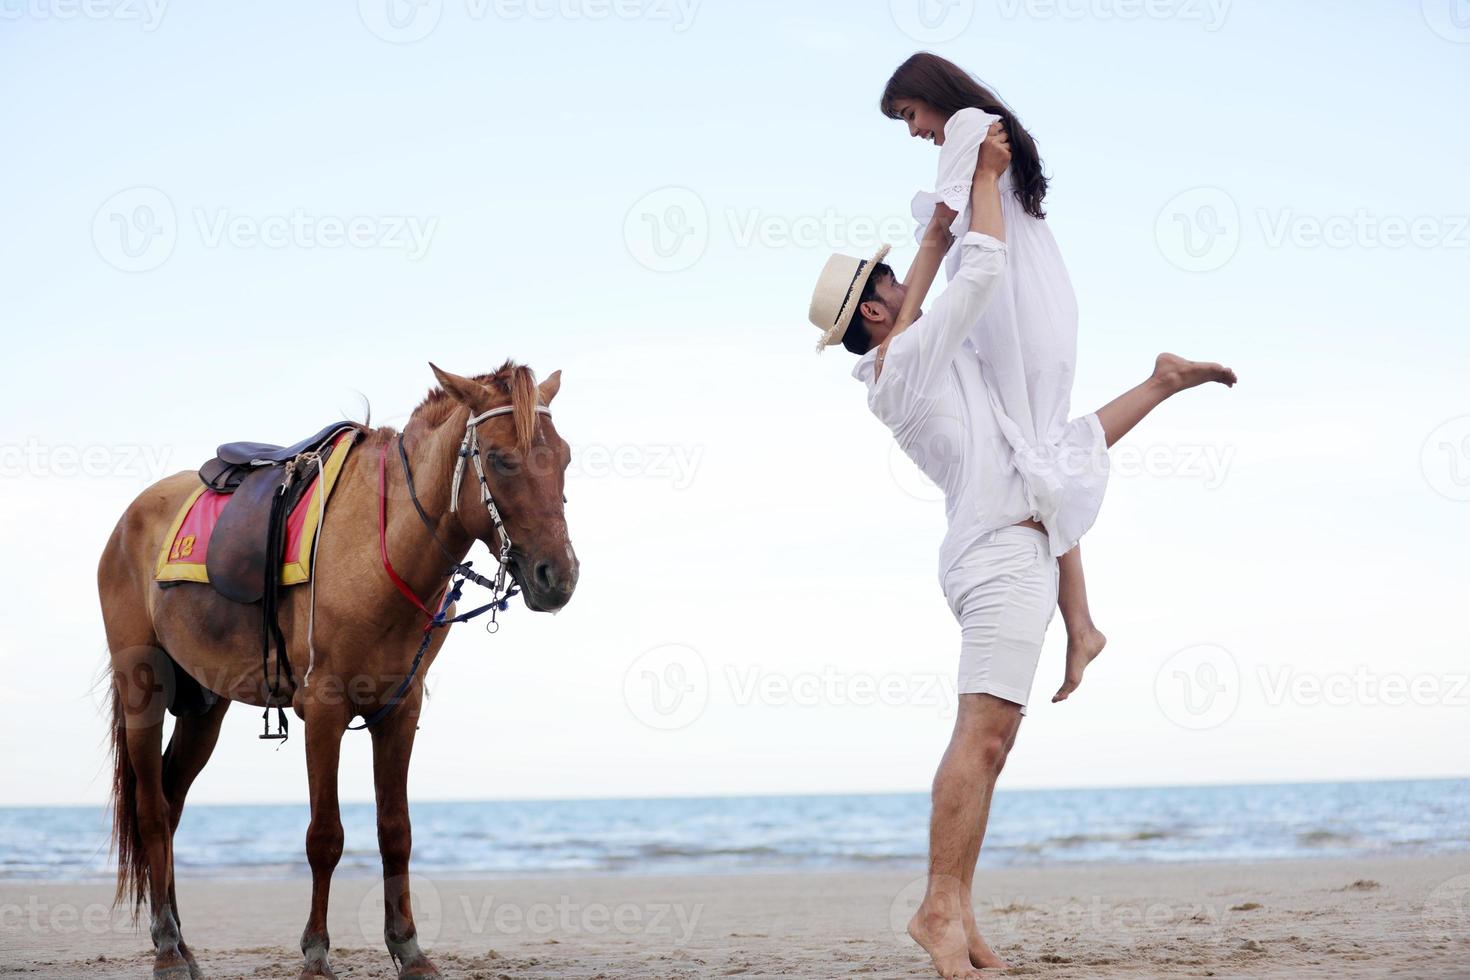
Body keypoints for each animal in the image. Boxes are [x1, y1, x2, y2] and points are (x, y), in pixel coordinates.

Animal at [96, 362, 579, 980]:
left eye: (563, 457)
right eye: (500, 459)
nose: (558, 575)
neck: (381, 543)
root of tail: (130, 519)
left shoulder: (399, 709)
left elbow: (396, 831)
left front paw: (409, 950)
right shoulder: (323, 710)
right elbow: (324, 837)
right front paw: (316, 953)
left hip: (205, 705)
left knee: (173, 803)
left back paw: (184, 945)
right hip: (142, 689)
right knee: (153, 811)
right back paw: (165, 949)